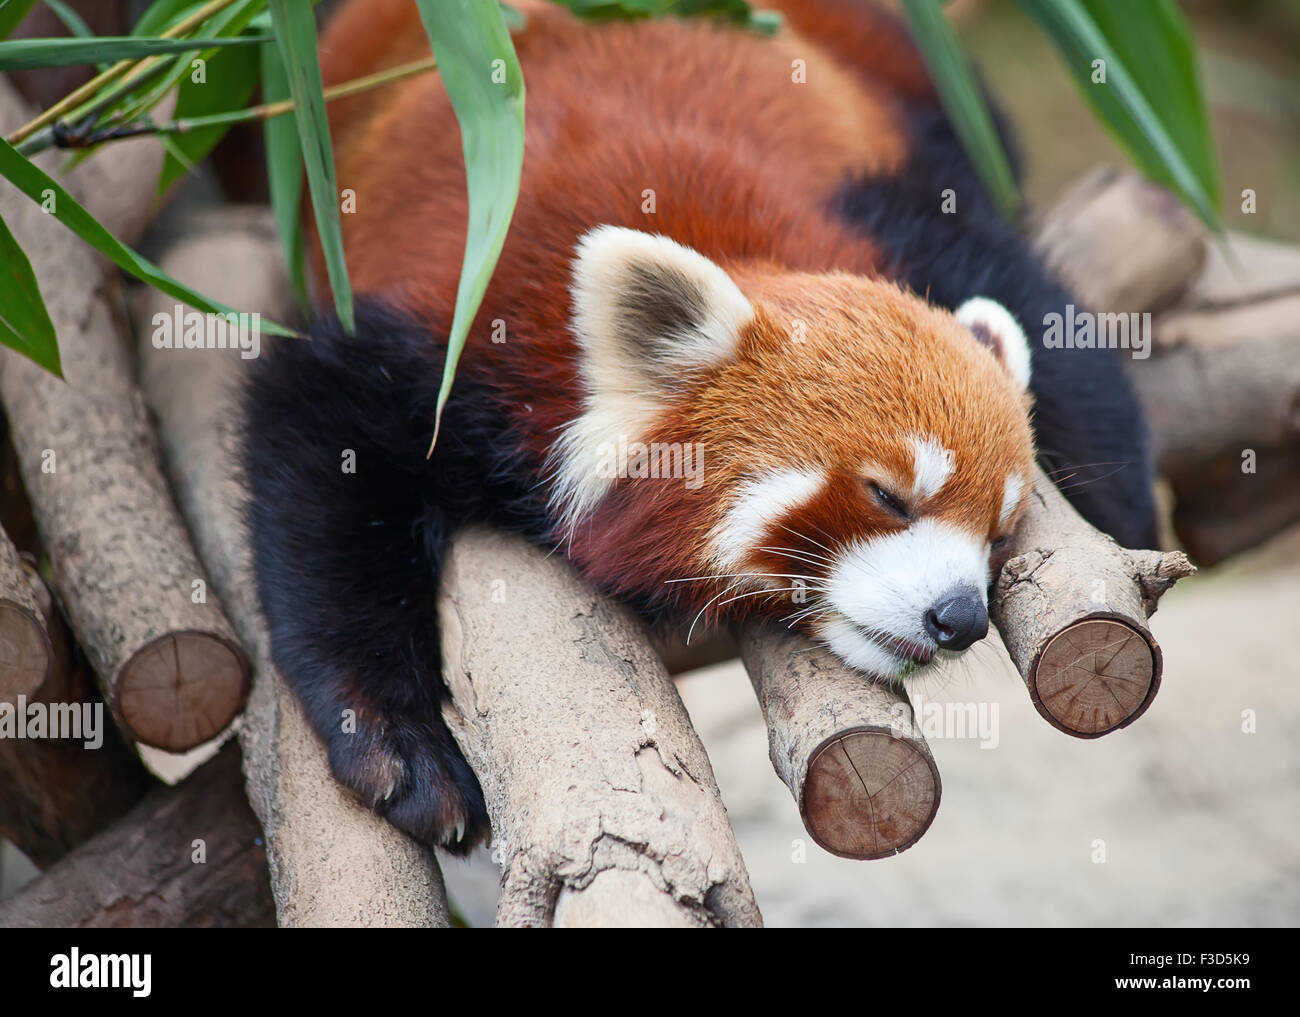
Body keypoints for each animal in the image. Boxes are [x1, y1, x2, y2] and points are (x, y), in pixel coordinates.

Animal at [244, 0, 1159, 853]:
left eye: (999, 533)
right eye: (888, 497)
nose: (959, 617)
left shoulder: (886, 217)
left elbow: (1046, 320)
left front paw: (1126, 512)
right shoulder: (458, 344)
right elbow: (318, 449)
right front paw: (398, 748)